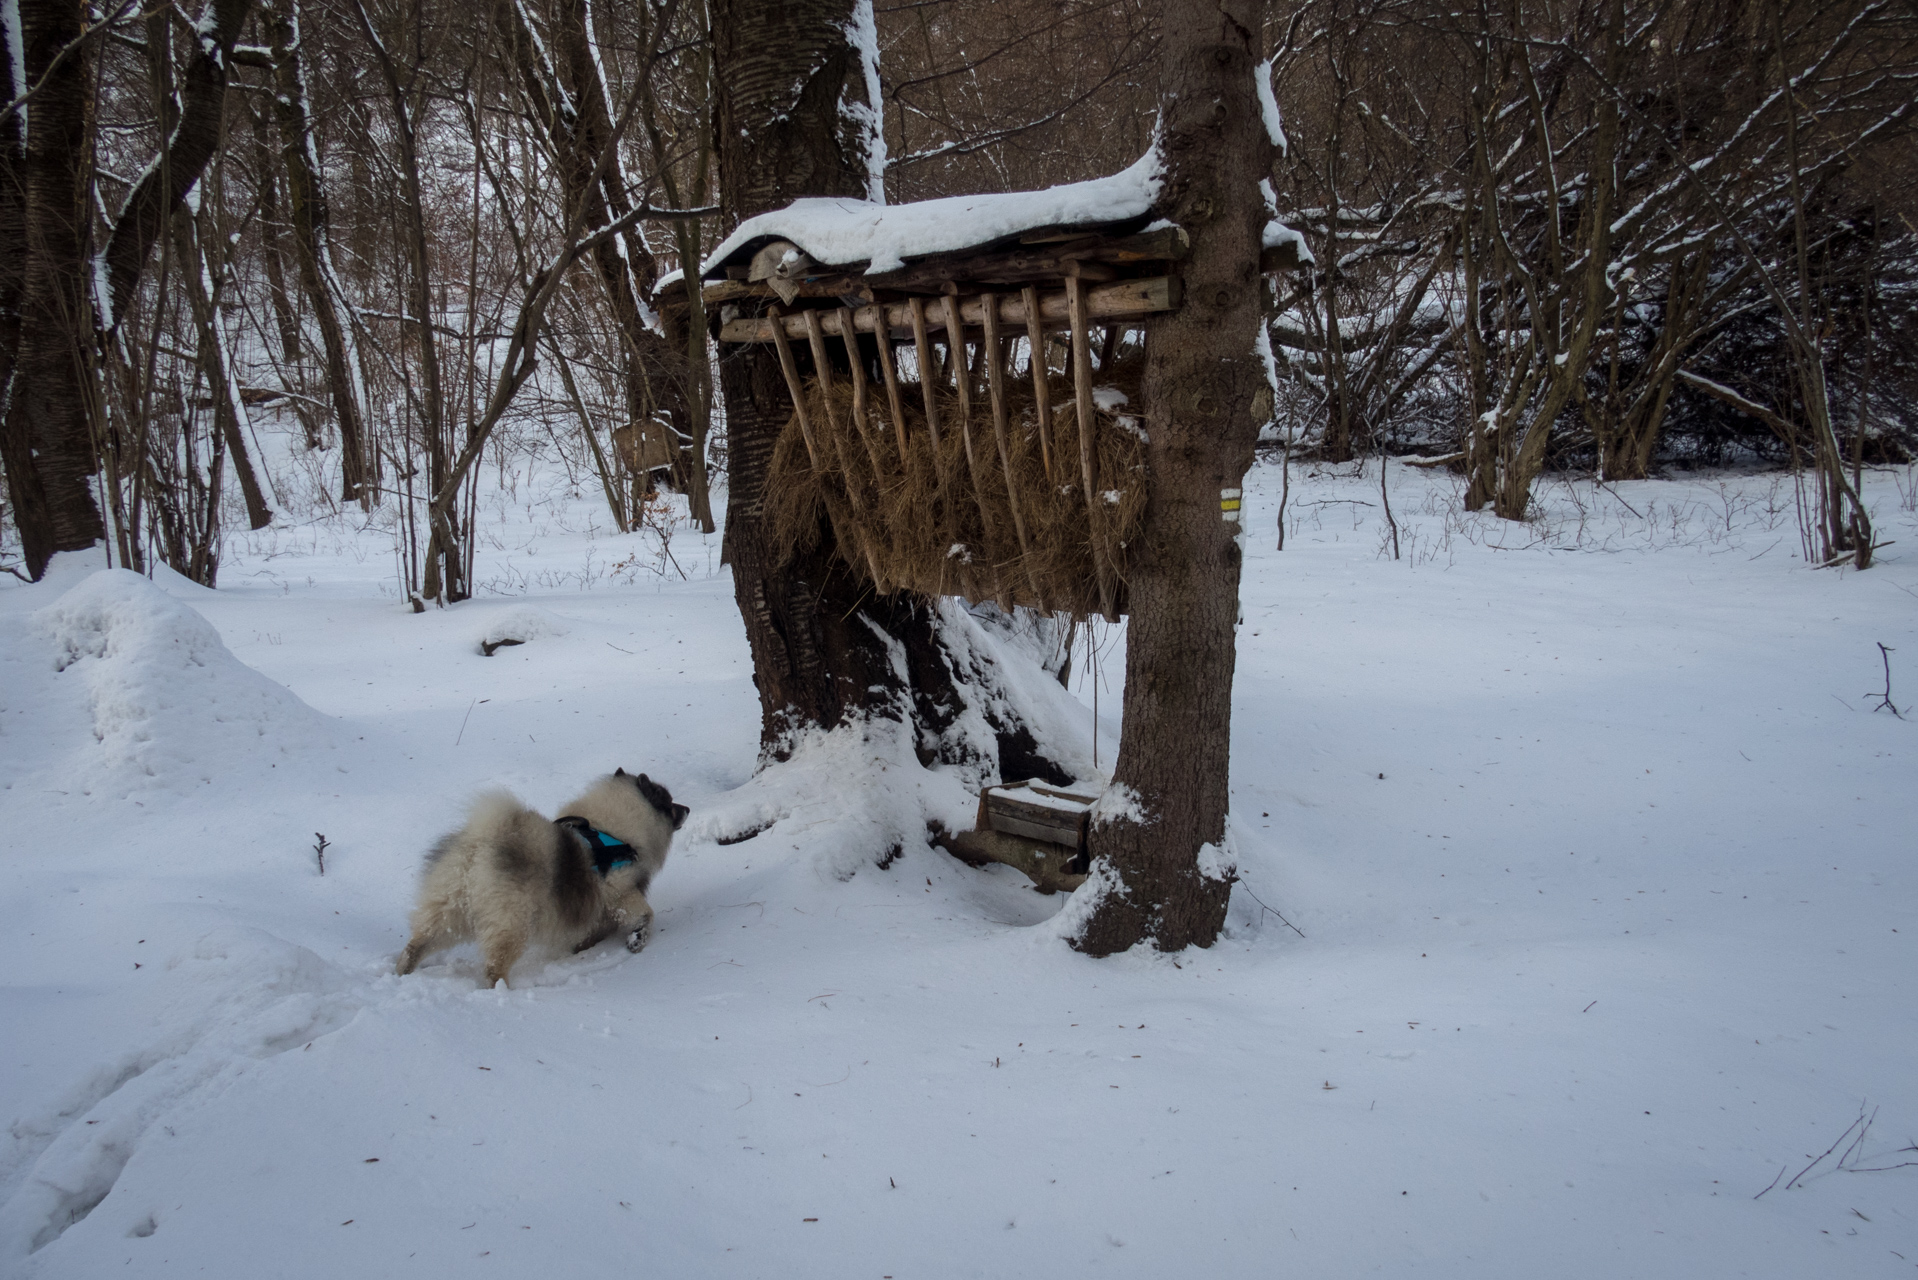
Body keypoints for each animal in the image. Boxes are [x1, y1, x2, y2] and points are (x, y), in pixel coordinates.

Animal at [391, 771, 690, 990]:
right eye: (668, 802)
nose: (687, 808)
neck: (613, 831)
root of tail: (481, 843)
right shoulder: (619, 892)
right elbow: (645, 914)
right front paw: (637, 939)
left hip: (448, 911)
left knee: (418, 944)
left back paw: (402, 971)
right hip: (512, 922)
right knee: (494, 965)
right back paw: (500, 990)